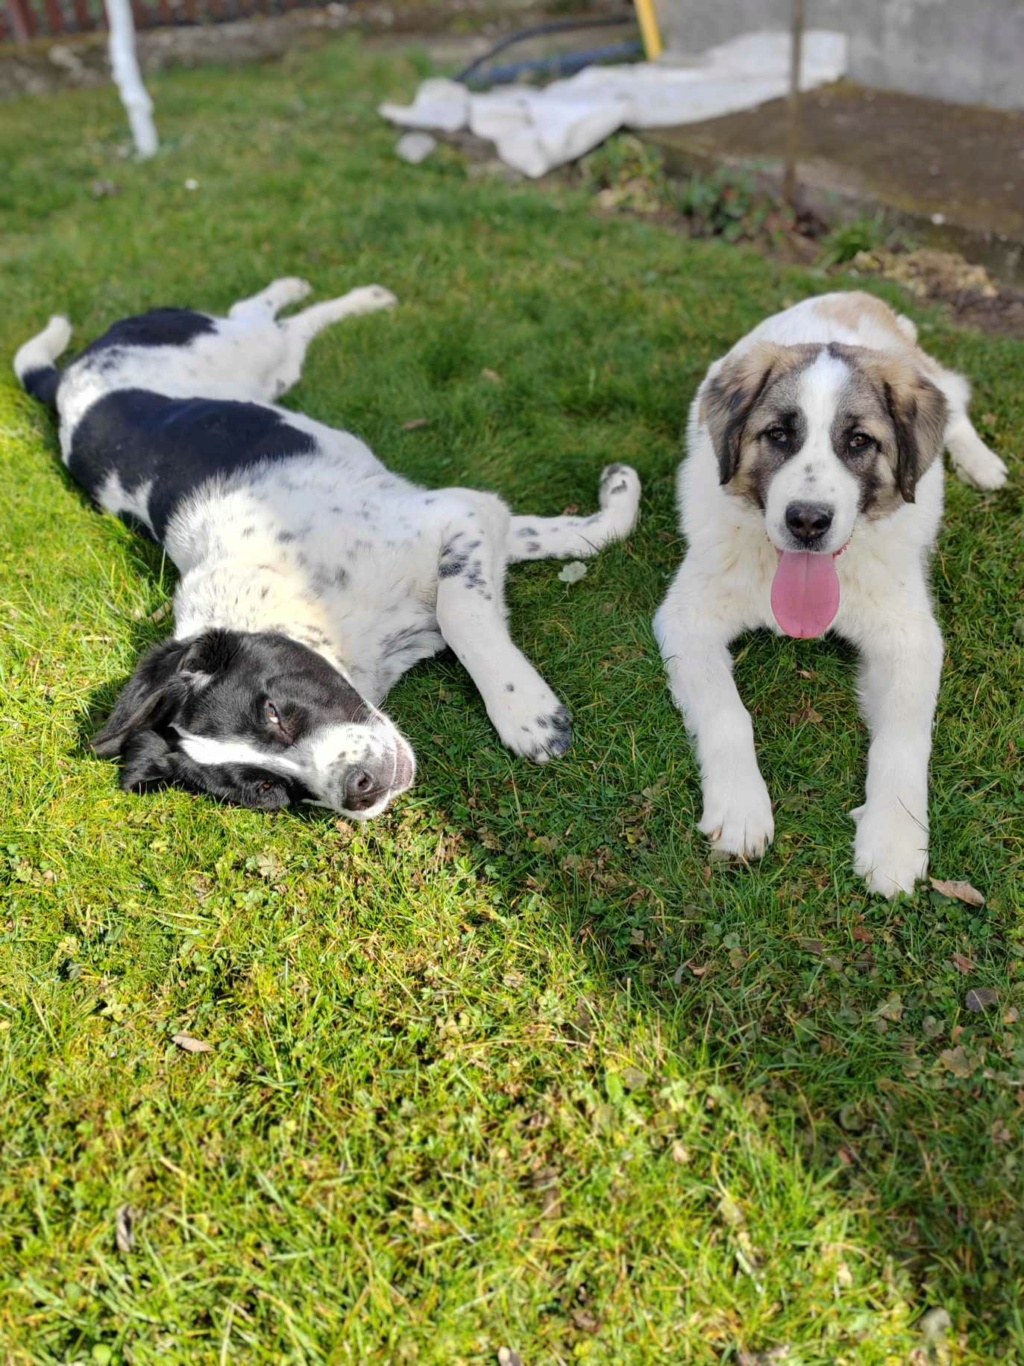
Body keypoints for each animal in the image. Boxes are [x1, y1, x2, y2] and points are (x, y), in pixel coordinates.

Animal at [16, 271, 641, 814]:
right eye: (267, 790)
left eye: (273, 711)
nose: (358, 790)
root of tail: (69, 379)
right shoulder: (475, 522)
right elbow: (569, 538)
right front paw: (617, 498)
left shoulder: (455, 513)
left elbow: (464, 613)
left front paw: (525, 714)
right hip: (272, 371)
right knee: (291, 329)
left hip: (242, 347)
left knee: (260, 313)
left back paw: (336, 291)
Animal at [658, 290, 1010, 896]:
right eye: (778, 435)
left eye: (859, 442)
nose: (806, 521)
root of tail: (855, 295)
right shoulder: (687, 618)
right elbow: (728, 714)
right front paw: (741, 808)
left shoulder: (910, 639)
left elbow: (903, 739)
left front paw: (893, 839)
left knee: (957, 407)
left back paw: (983, 464)